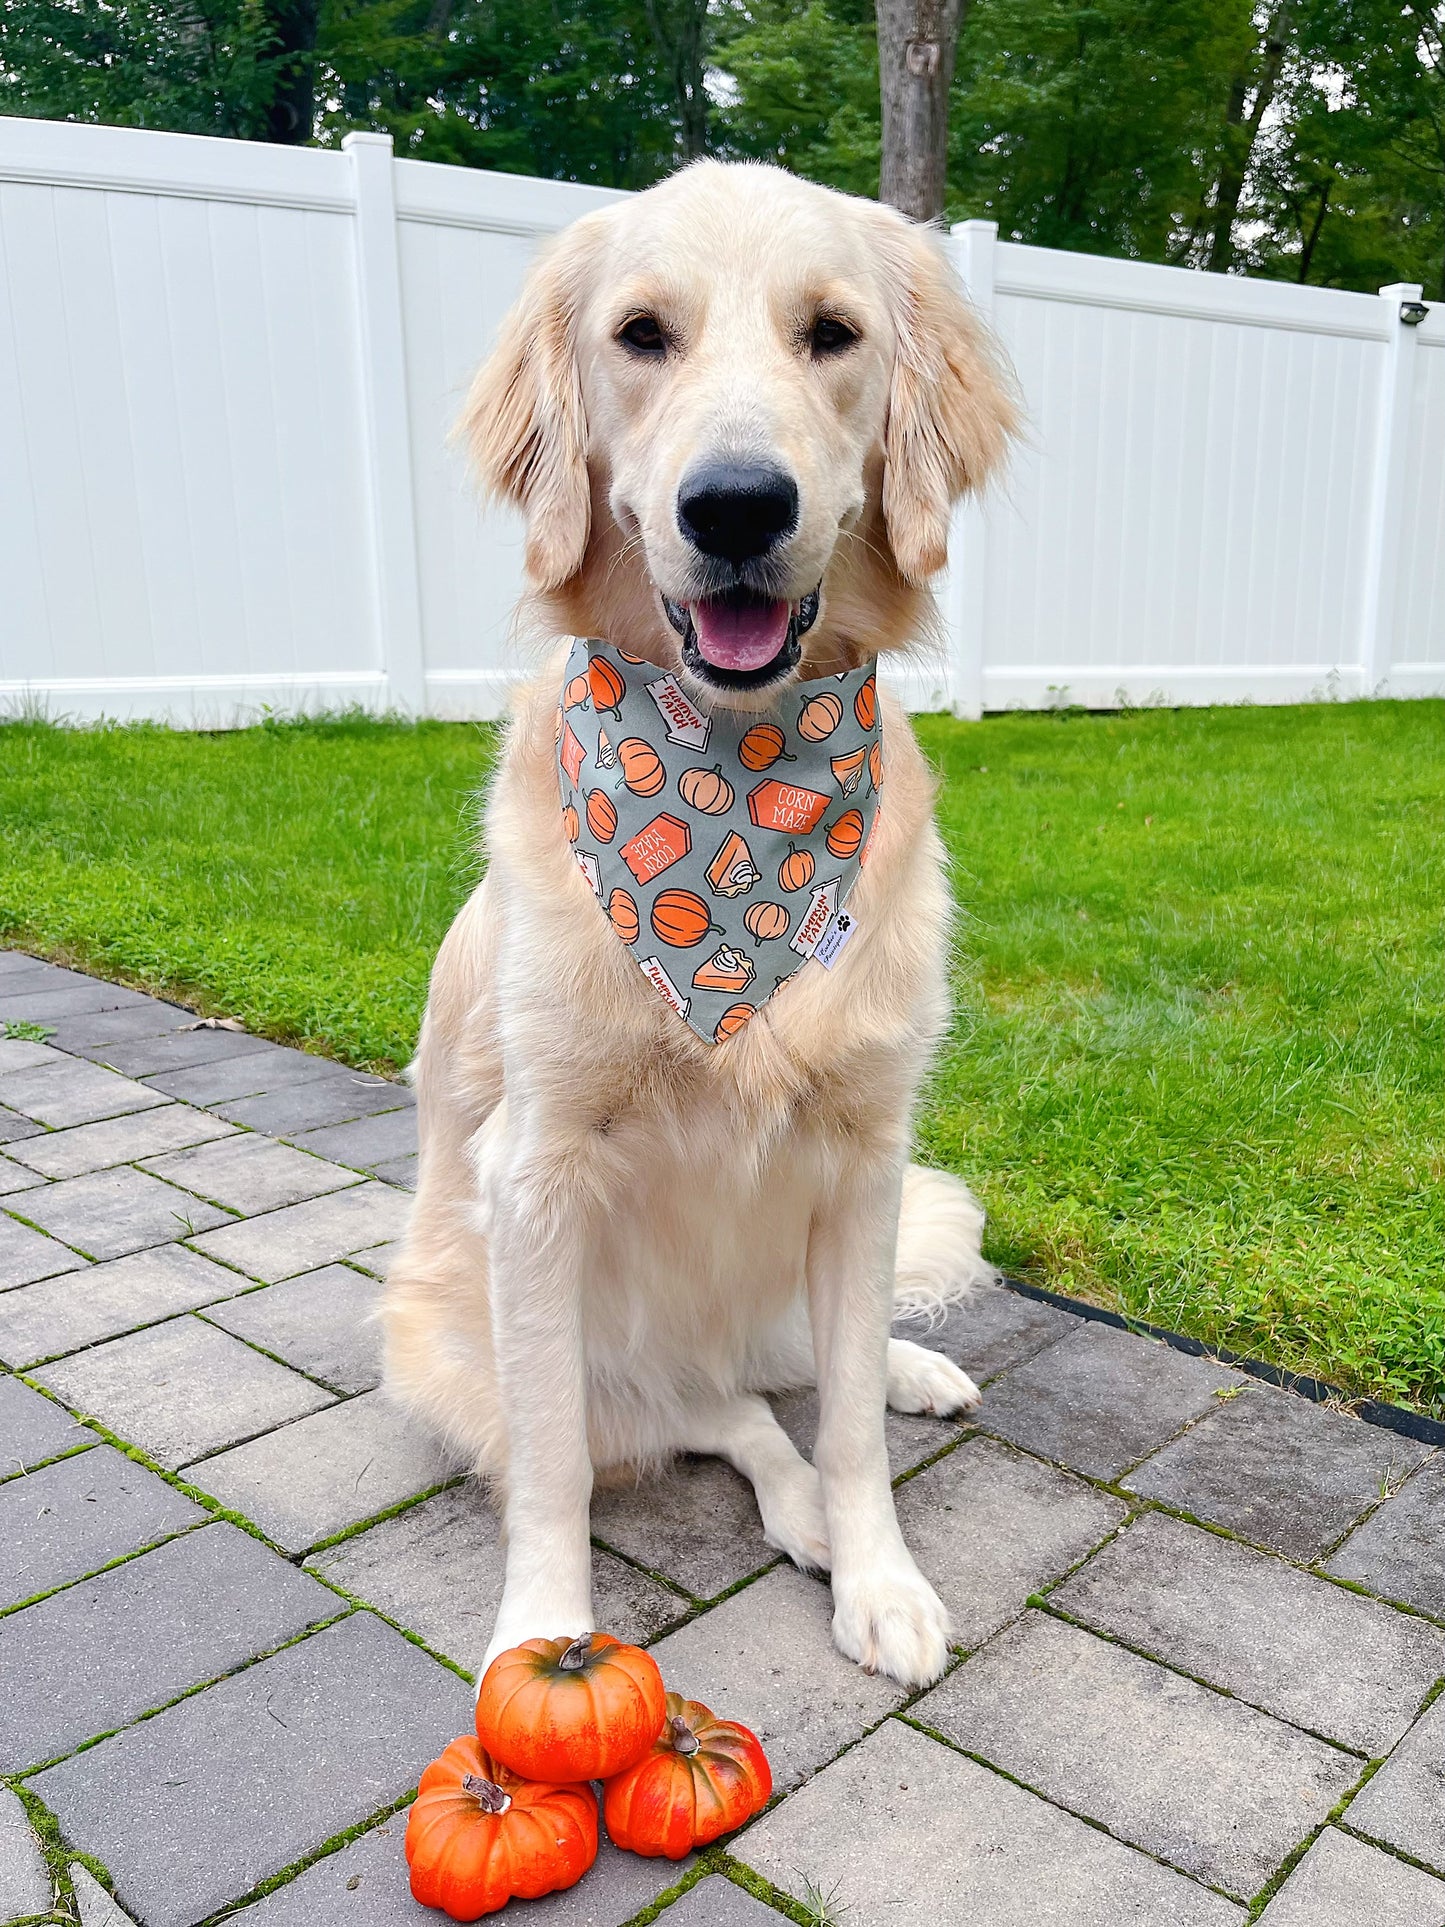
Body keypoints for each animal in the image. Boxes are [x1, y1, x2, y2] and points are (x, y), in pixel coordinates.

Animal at [379, 158, 1024, 1688]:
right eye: (641, 335)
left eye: (832, 333)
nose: (736, 507)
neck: (735, 774)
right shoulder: (536, 1175)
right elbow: (555, 1463)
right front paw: (543, 1634)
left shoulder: (864, 1152)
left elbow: (845, 1420)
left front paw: (883, 1572)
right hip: (469, 1339)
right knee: (706, 1412)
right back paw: (786, 1506)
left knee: (791, 1371)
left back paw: (904, 1381)